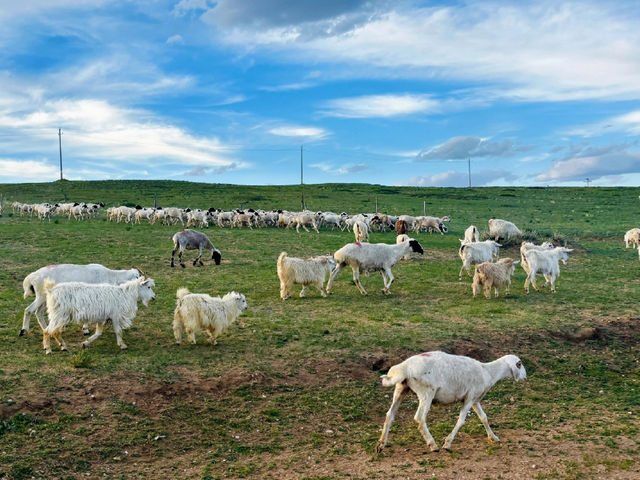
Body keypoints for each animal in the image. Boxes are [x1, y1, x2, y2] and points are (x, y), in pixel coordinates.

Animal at [378, 350, 528, 452]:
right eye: (519, 364)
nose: (525, 378)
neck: (488, 372)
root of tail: (405, 367)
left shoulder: (475, 400)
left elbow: (484, 417)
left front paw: (494, 438)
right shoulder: (469, 398)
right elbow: (461, 420)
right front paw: (447, 443)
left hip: (401, 388)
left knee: (390, 414)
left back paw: (381, 444)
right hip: (427, 392)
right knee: (419, 418)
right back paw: (432, 444)